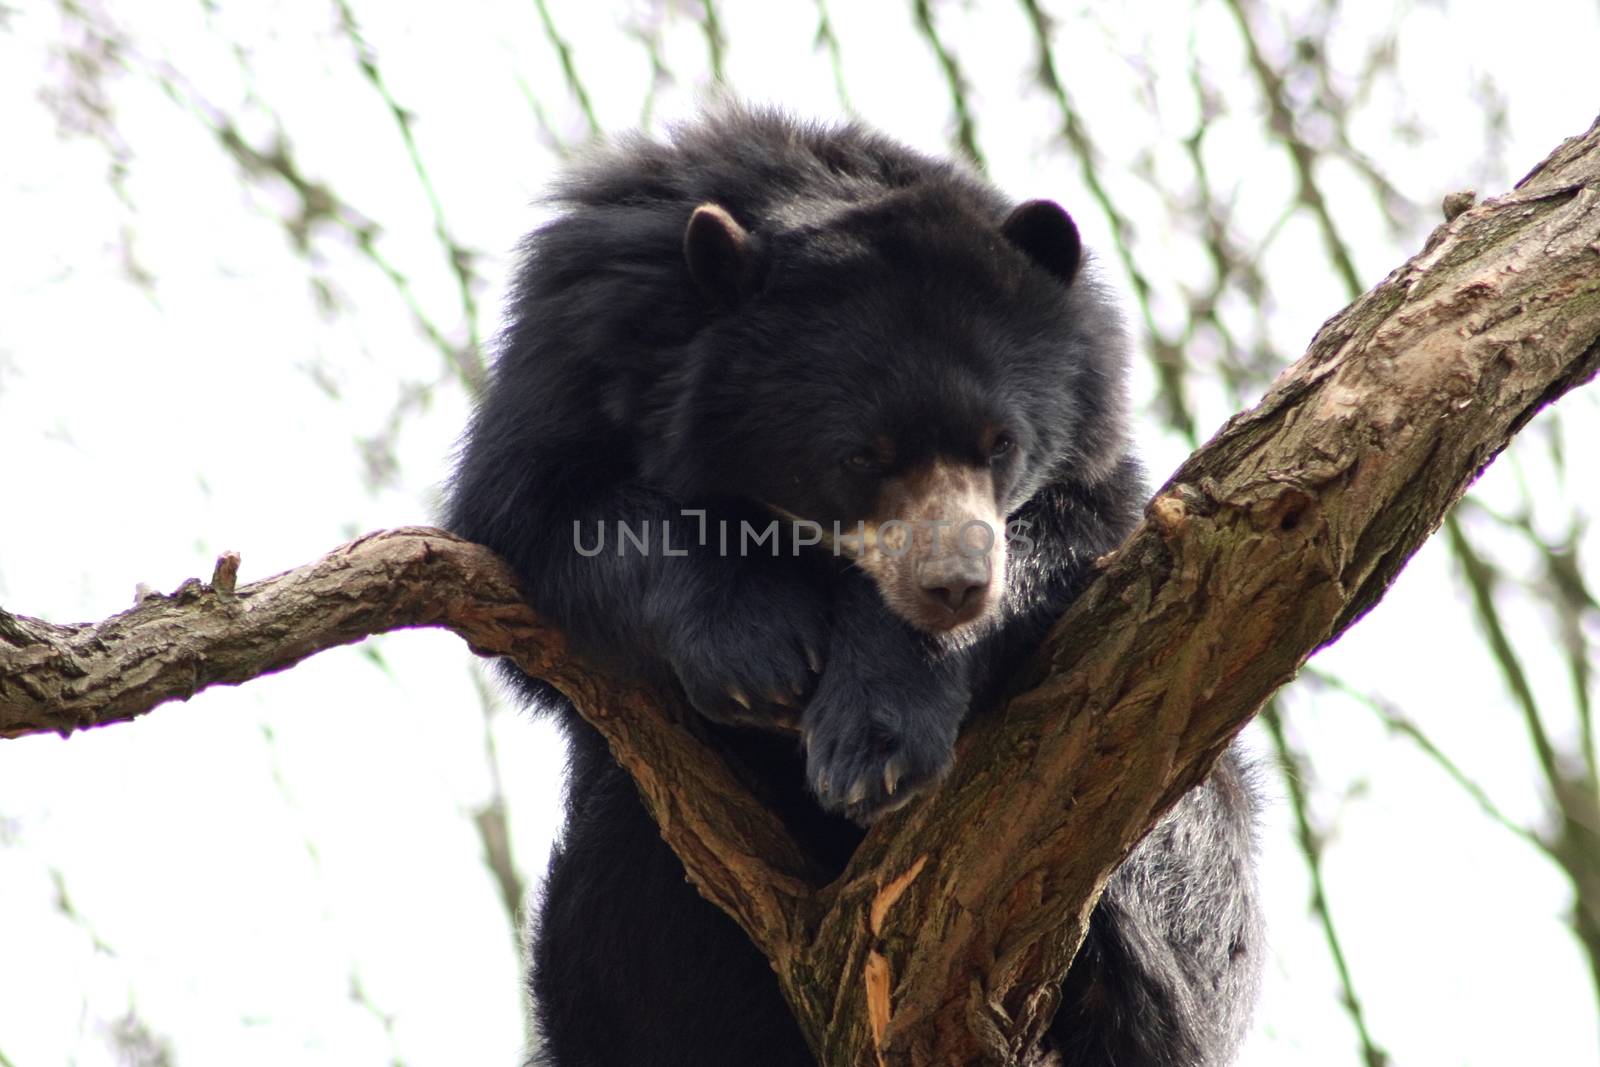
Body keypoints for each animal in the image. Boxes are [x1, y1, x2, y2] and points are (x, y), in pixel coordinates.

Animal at [441, 106, 1260, 1067]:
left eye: (1001, 444)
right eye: (862, 457)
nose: (956, 586)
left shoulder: (1088, 463)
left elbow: (1074, 532)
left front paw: (872, 742)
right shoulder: (573, 345)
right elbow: (547, 521)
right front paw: (760, 658)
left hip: (1191, 894)